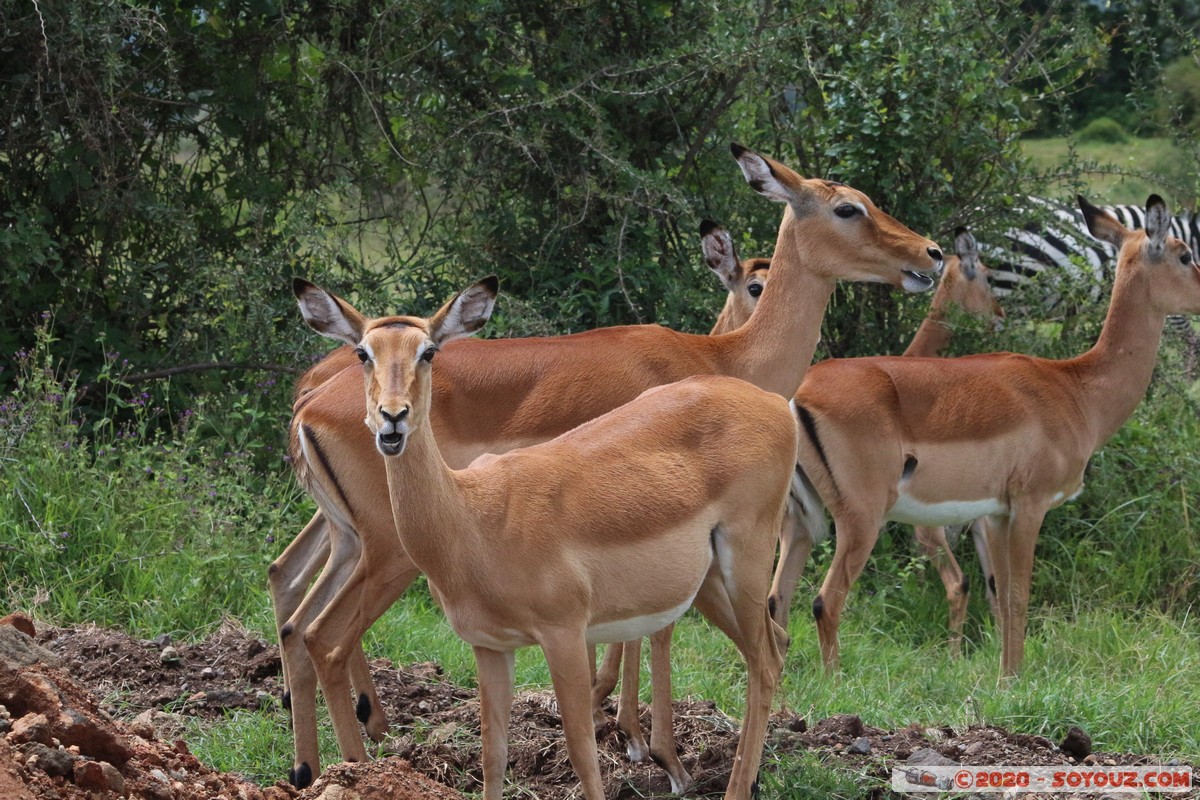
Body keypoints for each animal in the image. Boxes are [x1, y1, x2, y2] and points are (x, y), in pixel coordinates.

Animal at [291, 276, 798, 800]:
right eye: (363, 353)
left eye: (428, 351)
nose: (393, 418)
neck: (472, 517)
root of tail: (771, 402)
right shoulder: (491, 647)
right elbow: (493, 757)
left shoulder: (564, 635)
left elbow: (583, 756)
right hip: (710, 583)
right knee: (773, 649)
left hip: (746, 561)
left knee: (764, 663)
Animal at [788, 195, 1197, 677]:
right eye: (1184, 254)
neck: (1076, 388)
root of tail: (799, 394)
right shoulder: (1028, 506)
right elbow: (1018, 597)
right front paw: (1013, 680)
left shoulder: (998, 514)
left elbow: (1000, 596)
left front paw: (1002, 675)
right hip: (862, 519)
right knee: (824, 602)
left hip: (800, 522)